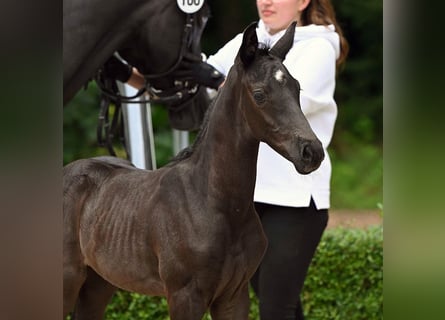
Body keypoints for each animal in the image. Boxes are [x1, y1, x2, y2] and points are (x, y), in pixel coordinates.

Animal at [63, 21, 322, 318]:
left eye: (297, 89)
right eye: (259, 95)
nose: (312, 152)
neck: (216, 203)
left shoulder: (234, 295)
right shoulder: (185, 296)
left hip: (99, 284)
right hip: (66, 280)